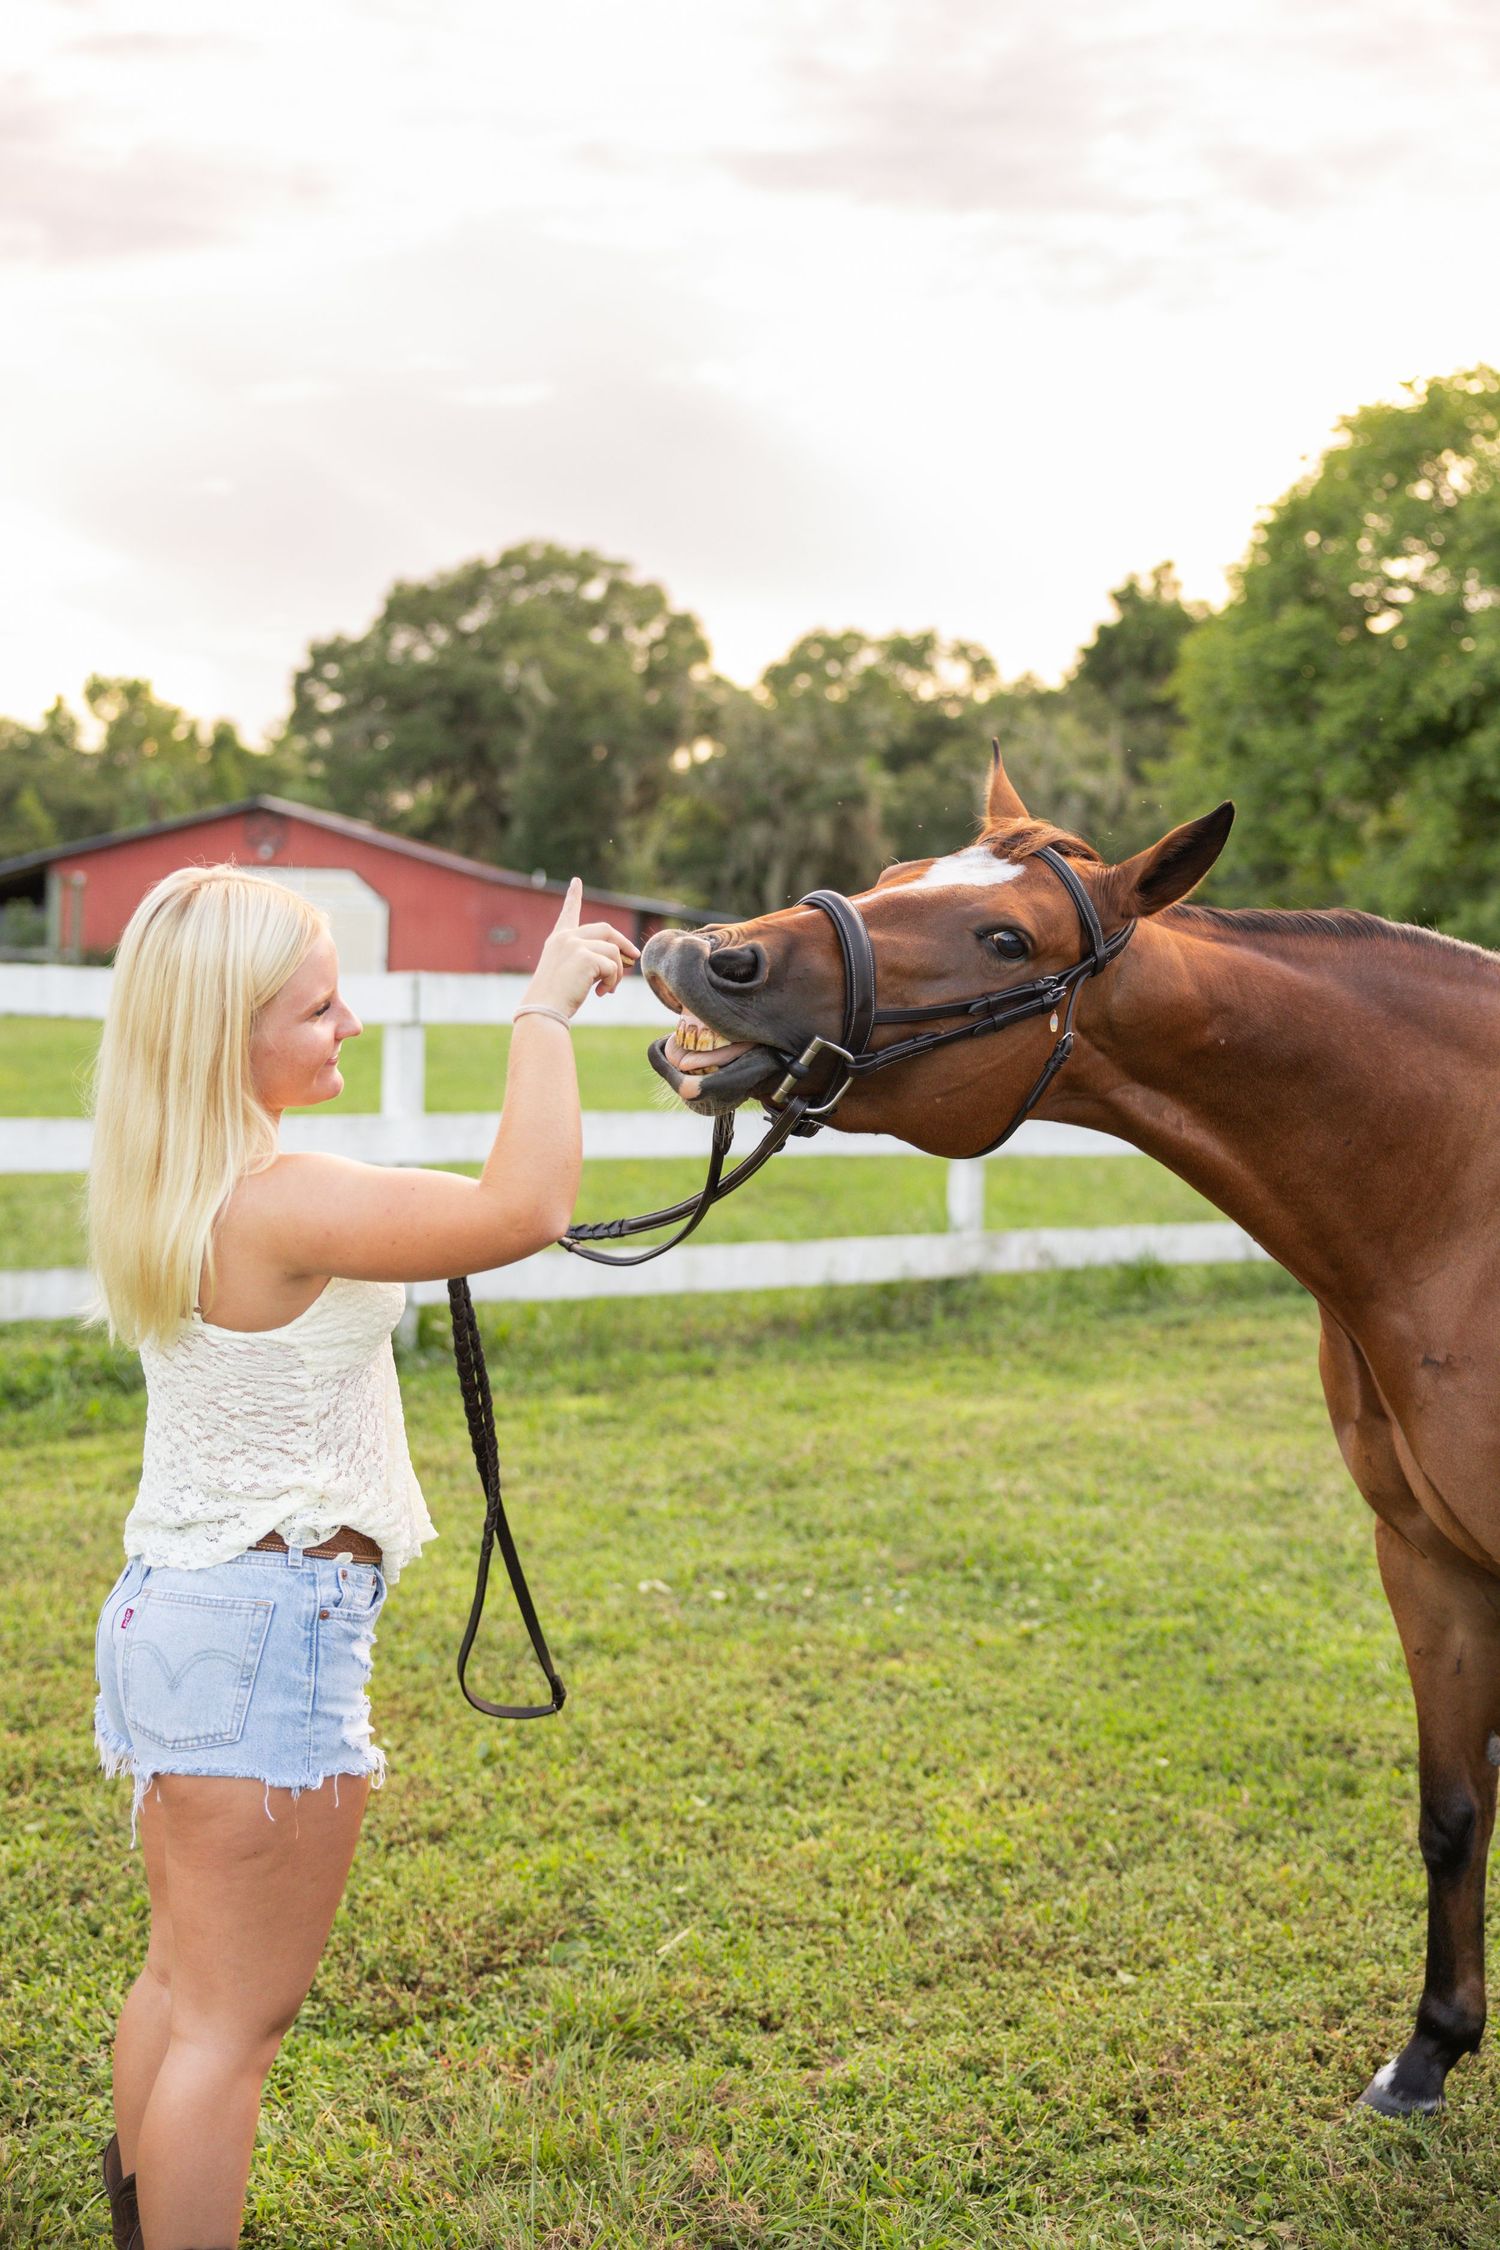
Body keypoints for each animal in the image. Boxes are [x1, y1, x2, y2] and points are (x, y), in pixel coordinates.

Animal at [636, 747, 1500, 2118]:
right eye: (897, 870)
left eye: (1006, 937)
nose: (705, 956)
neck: (1457, 1193)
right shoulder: (1425, 1558)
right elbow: (1453, 1809)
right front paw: (1429, 2052)